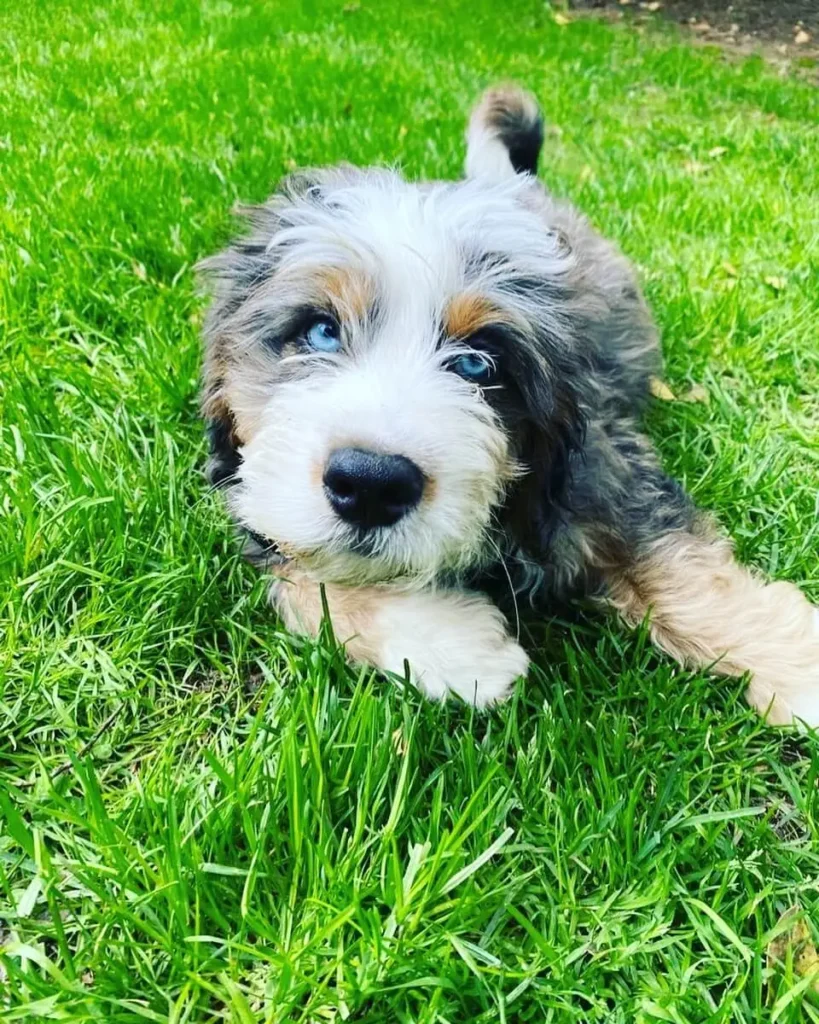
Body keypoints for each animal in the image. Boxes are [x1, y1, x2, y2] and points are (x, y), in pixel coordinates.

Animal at [199, 88, 818, 729]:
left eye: (478, 363)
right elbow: (303, 575)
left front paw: (797, 668)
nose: (370, 483)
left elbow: (686, 571)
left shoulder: (605, 473)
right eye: (320, 331)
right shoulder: (247, 486)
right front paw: (454, 645)